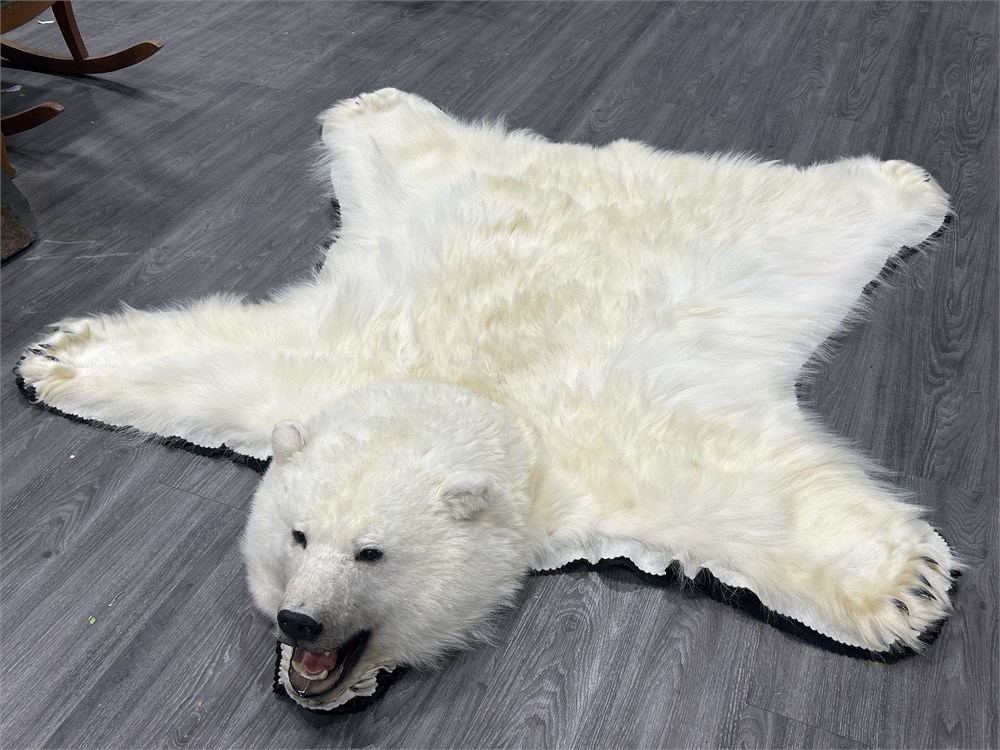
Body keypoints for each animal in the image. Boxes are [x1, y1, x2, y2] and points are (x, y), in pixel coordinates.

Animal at [15, 88, 959, 711]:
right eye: (297, 536)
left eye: (372, 554)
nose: (300, 623)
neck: (476, 390)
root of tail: (590, 156)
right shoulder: (320, 366)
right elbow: (206, 365)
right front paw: (54, 357)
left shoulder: (625, 447)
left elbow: (751, 499)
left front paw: (906, 586)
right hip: (426, 182)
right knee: (402, 138)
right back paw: (373, 104)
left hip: (763, 229)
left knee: (832, 207)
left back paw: (911, 184)